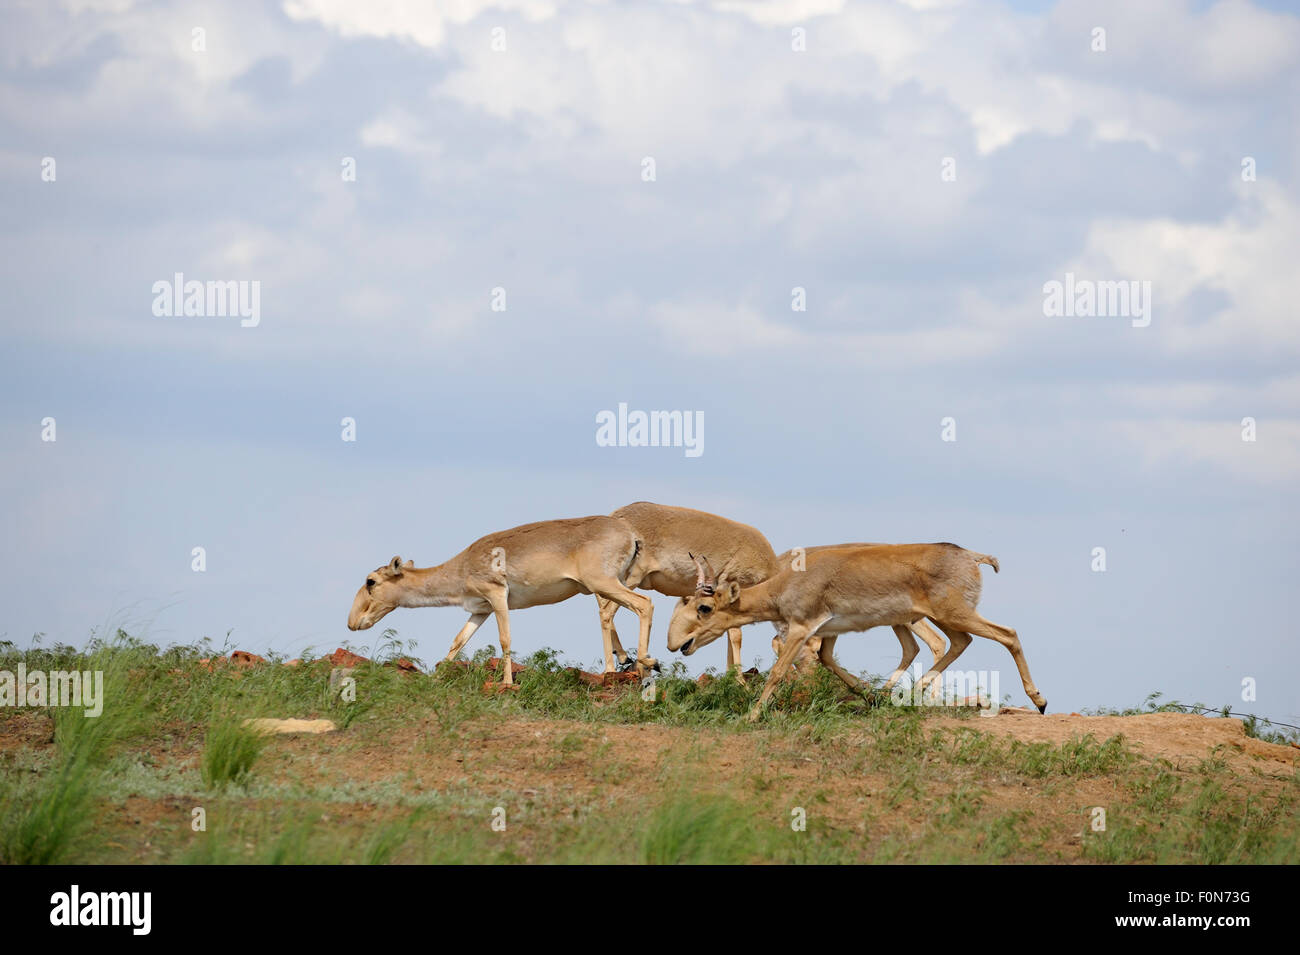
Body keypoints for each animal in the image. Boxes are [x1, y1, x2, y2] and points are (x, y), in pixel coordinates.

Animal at [348, 519, 655, 686]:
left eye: (371, 581)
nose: (352, 622)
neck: (461, 567)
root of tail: (632, 536)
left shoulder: (497, 595)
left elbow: (505, 639)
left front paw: (506, 682)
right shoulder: (480, 609)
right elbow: (458, 641)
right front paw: (435, 679)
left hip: (603, 583)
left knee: (644, 604)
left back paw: (641, 665)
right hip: (615, 583)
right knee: (614, 612)